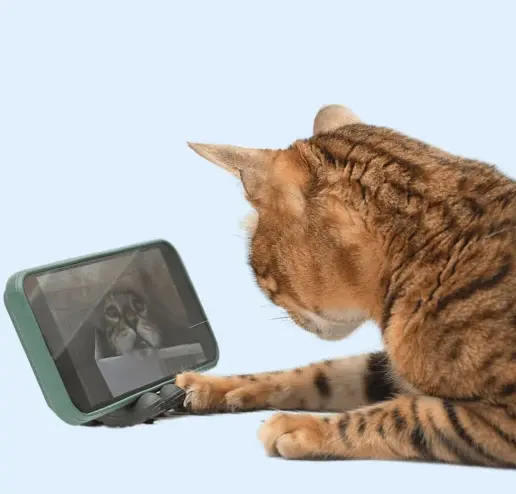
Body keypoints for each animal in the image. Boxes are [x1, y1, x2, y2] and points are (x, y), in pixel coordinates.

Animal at [175, 104, 516, 467]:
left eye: (261, 276)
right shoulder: (386, 366)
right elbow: (321, 374)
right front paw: (217, 386)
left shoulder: (502, 418)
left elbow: (402, 416)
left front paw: (301, 427)